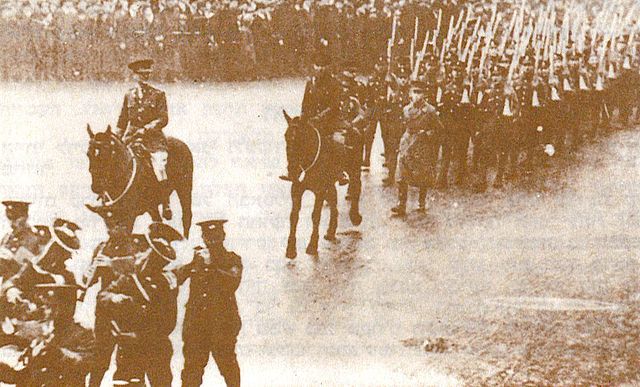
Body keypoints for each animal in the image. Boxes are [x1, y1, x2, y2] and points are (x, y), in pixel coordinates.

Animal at [284, 110, 362, 260]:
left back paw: (355, 216)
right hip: (330, 182)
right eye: (286, 137)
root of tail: (353, 126)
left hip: (354, 168)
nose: (292, 170)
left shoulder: (319, 191)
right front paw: (291, 249)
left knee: (357, 187)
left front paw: (312, 245)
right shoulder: (296, 189)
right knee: (333, 199)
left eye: (301, 138)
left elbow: (315, 215)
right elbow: (293, 216)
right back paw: (331, 231)